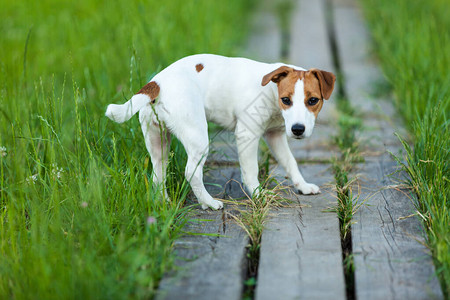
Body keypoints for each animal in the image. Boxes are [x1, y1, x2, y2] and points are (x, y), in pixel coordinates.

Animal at [105, 53, 336, 209]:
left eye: (313, 100)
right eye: (286, 100)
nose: (298, 129)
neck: (270, 90)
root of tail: (157, 83)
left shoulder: (275, 136)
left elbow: (290, 162)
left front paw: (302, 185)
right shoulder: (247, 135)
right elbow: (250, 171)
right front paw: (258, 195)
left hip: (157, 140)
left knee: (157, 173)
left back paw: (164, 201)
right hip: (198, 137)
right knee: (191, 172)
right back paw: (208, 202)